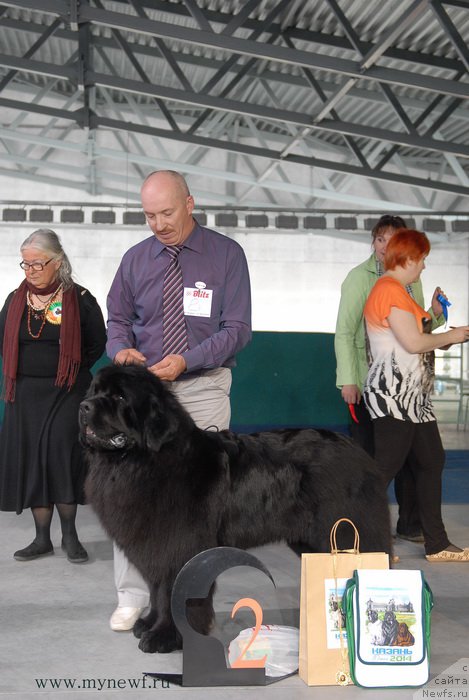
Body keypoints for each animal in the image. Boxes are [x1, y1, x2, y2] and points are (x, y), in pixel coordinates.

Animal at [81, 364, 392, 652]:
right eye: (94, 391)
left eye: (120, 397)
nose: (84, 406)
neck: (144, 461)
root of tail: (357, 450)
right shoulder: (154, 546)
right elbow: (156, 589)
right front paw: (148, 624)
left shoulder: (177, 548)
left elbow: (170, 590)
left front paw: (165, 636)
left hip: (343, 531)